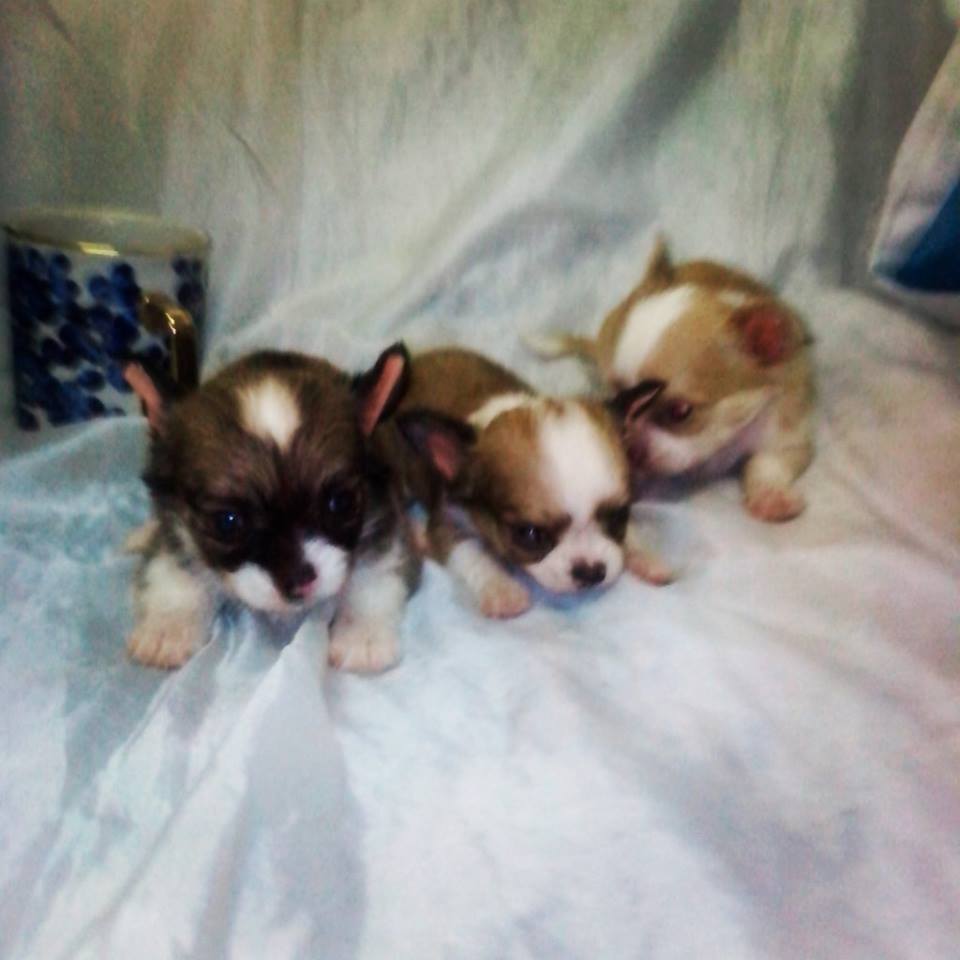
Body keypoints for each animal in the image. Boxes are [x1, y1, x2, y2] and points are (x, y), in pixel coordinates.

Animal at [123, 344, 419, 674]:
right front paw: (168, 627)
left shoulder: (385, 524)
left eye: (340, 504)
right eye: (227, 522)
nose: (297, 583)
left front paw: (363, 636)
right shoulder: (176, 529)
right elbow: (173, 571)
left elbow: (372, 575)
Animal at [373, 347, 669, 619]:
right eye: (530, 535)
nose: (590, 571)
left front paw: (645, 557)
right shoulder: (446, 519)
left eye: (620, 516)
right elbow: (470, 551)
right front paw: (501, 589)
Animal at [527, 239, 815, 522]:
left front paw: (771, 496)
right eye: (619, 400)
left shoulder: (787, 437)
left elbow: (767, 462)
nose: (630, 447)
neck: (726, 440)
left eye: (680, 412)